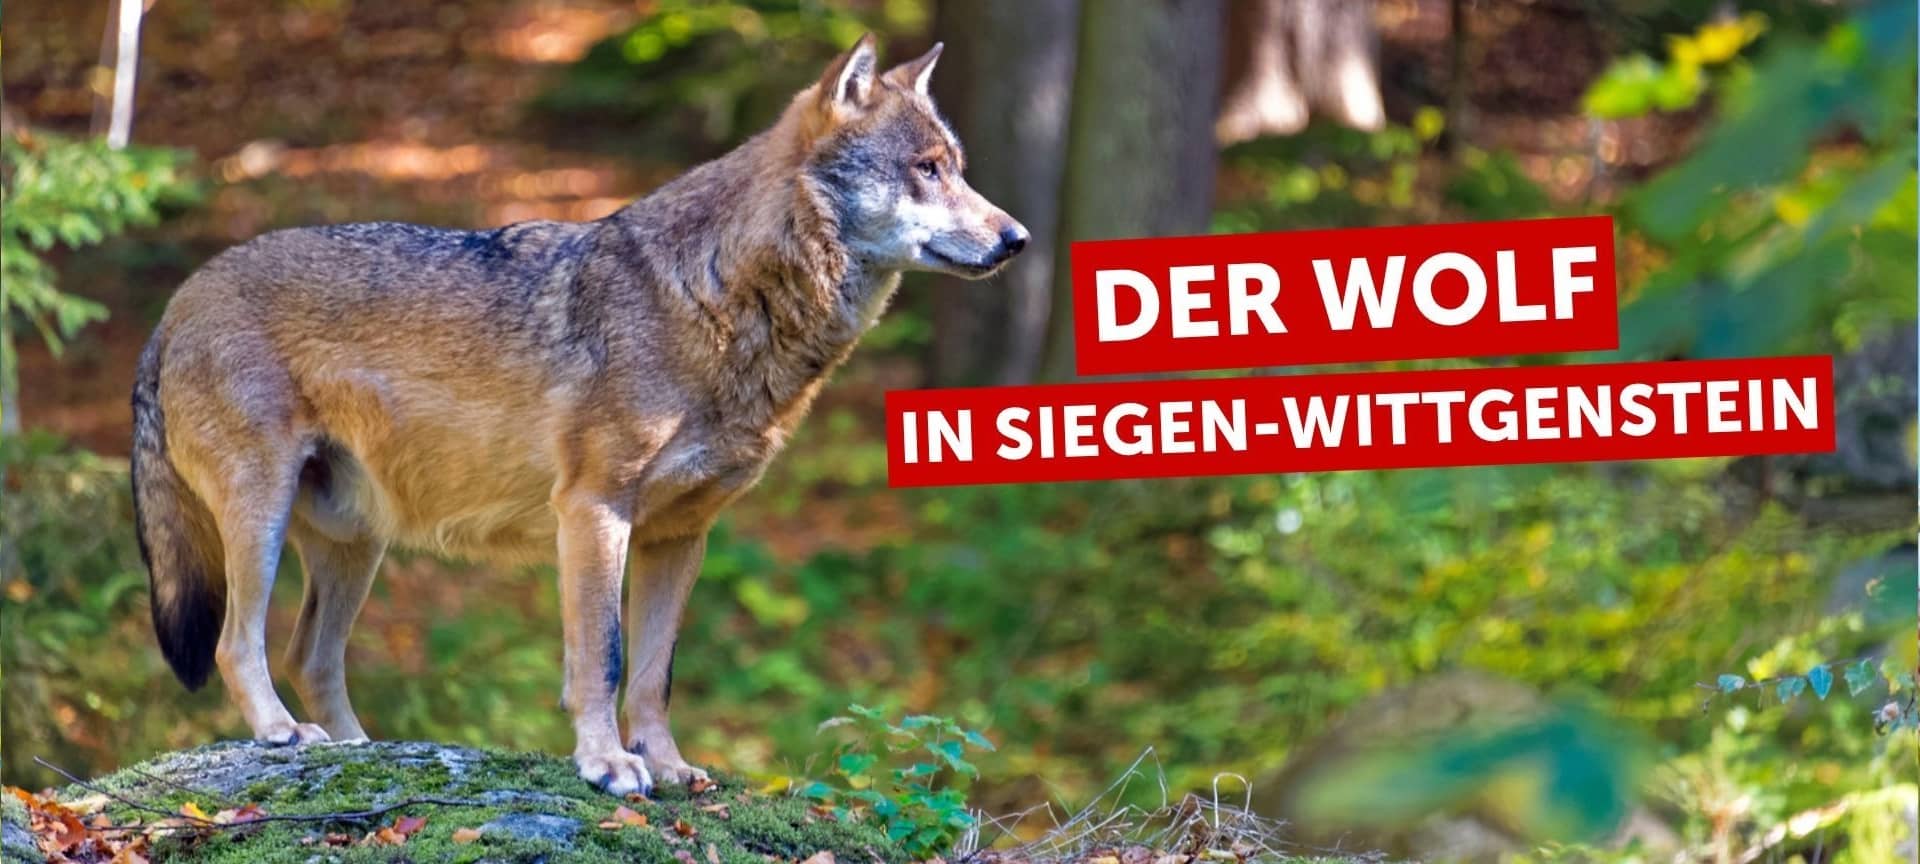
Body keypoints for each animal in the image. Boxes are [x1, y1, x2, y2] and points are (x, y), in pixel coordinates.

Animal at [130, 35, 1025, 796]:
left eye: (957, 169)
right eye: (927, 170)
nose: (1016, 237)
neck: (717, 299)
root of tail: (176, 302)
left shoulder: (681, 536)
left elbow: (656, 675)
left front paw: (667, 766)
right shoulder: (594, 511)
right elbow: (603, 659)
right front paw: (608, 765)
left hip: (357, 543)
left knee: (310, 654)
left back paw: (361, 751)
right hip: (263, 517)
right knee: (237, 643)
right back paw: (280, 734)